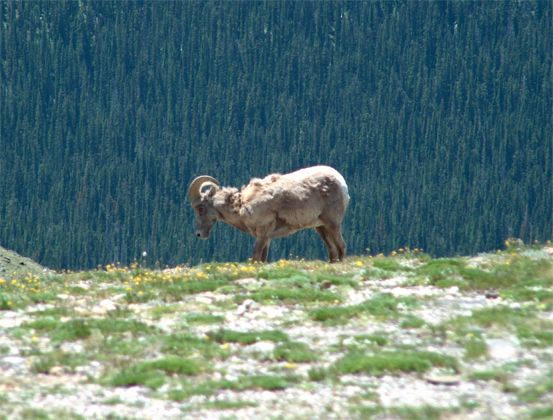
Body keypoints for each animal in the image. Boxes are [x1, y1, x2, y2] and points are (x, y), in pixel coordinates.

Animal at [188, 166, 348, 260]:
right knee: (332, 250)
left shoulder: (262, 234)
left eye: (200, 208)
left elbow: (256, 257)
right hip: (321, 227)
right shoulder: (267, 238)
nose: (199, 234)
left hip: (333, 224)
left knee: (341, 246)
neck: (241, 205)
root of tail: (341, 182)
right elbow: (262, 259)